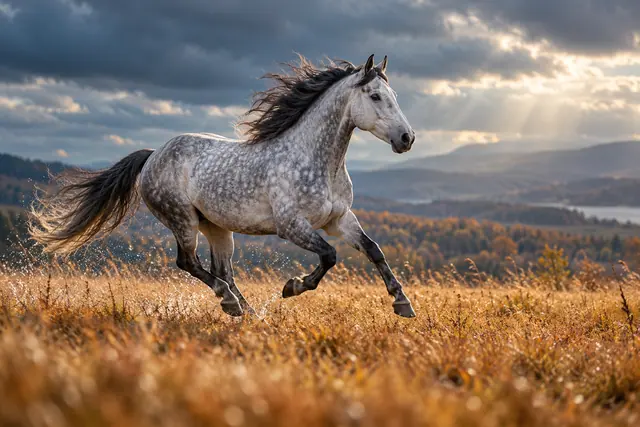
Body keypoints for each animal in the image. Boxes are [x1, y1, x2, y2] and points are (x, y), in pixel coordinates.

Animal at [30, 54, 417, 318]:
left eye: (394, 94)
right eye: (375, 96)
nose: (407, 138)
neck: (316, 160)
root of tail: (153, 155)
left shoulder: (339, 220)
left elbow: (373, 250)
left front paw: (403, 303)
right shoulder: (291, 225)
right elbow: (329, 255)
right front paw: (292, 287)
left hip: (216, 227)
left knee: (222, 270)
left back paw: (247, 311)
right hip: (183, 220)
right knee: (189, 263)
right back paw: (231, 304)